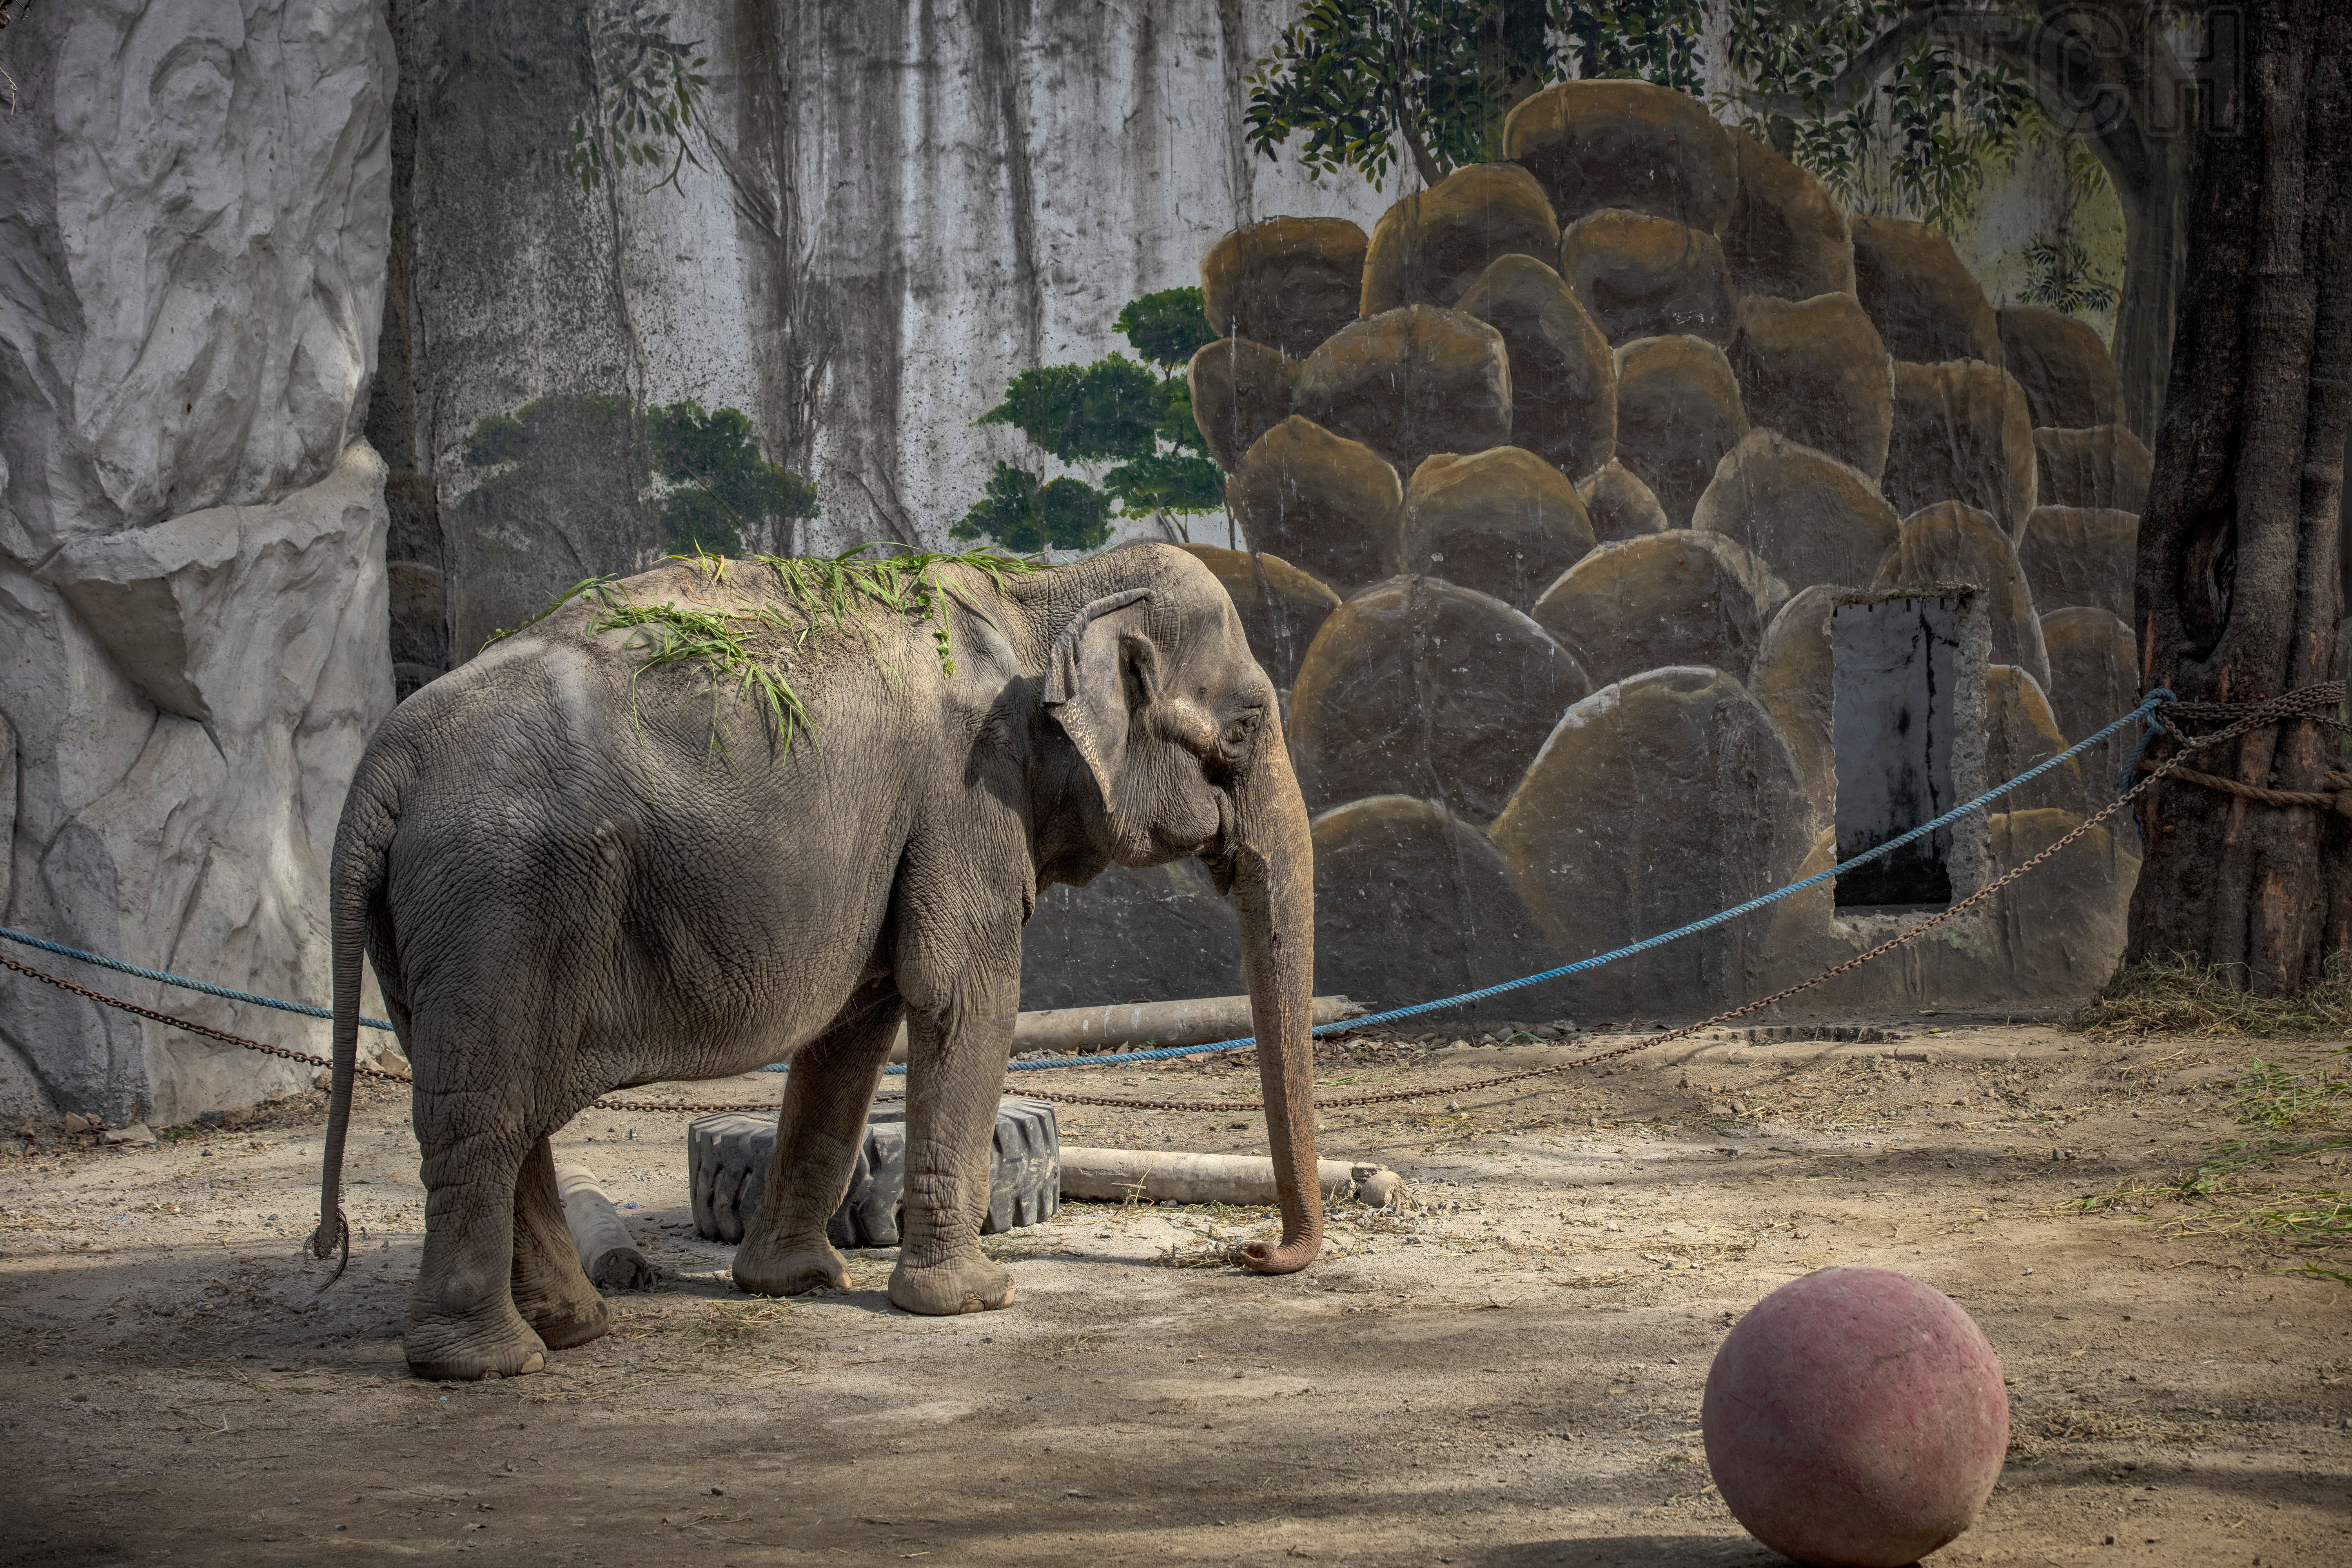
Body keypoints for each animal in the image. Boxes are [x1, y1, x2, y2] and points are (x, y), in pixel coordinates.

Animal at [318, 545, 1327, 1382]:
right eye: (1244, 729)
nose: (1255, 1254)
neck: (1043, 590)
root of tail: (384, 758)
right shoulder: (966, 793)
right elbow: (964, 995)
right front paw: (973, 1301)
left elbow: (855, 1029)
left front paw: (796, 1281)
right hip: (501, 894)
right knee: (486, 1113)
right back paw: (488, 1363)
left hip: (438, 924)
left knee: (497, 1103)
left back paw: (574, 1328)